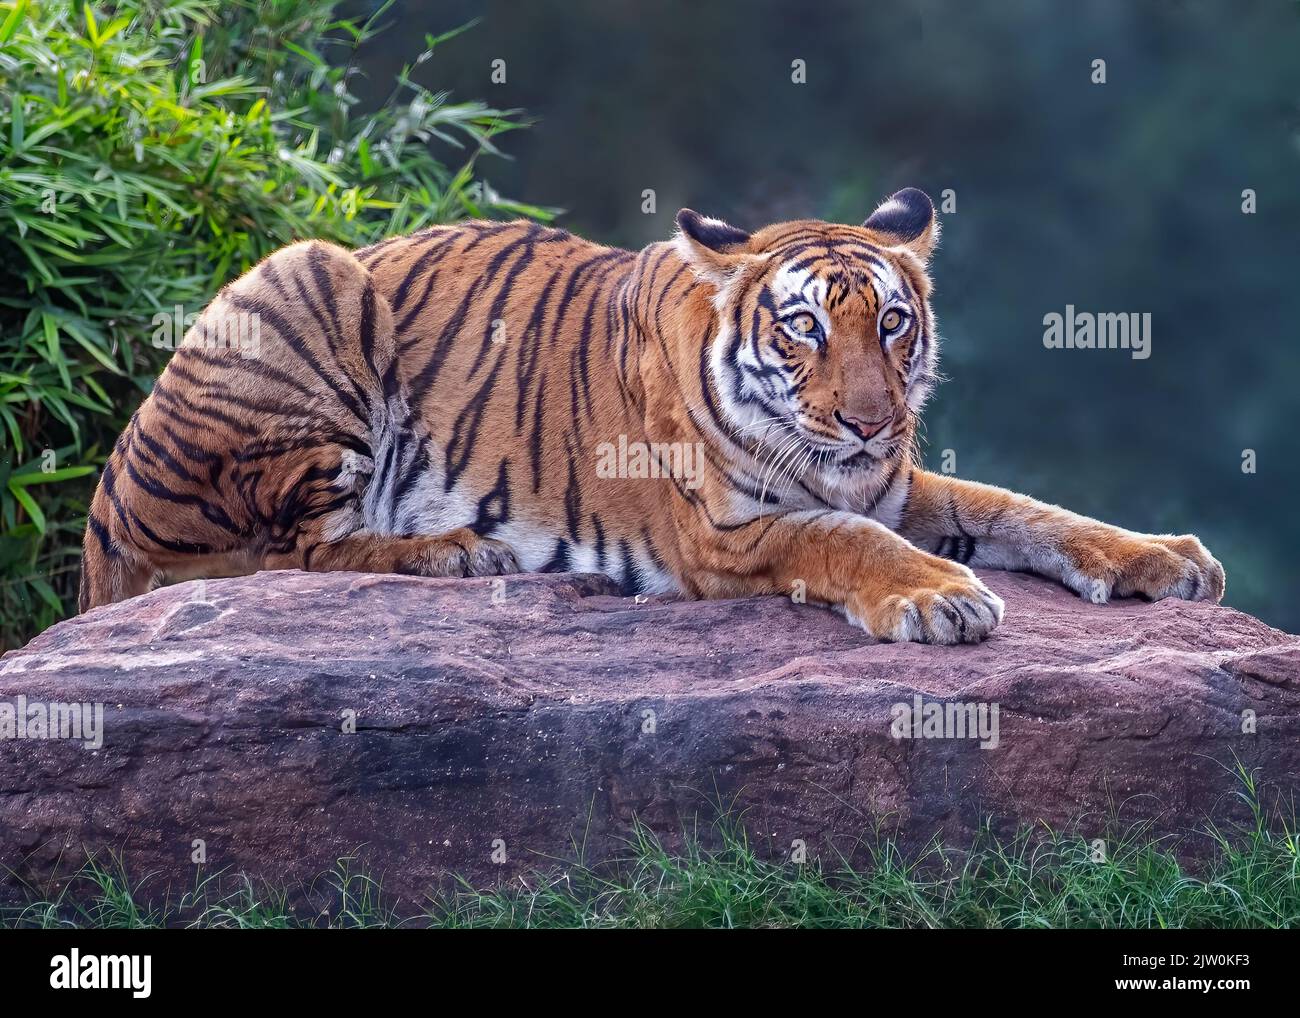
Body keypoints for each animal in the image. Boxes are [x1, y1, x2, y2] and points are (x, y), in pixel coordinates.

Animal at [78, 187, 1225, 644]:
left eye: (894, 322)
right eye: (805, 327)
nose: (867, 422)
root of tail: (98, 526)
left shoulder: (898, 484)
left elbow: (1025, 508)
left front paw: (1165, 558)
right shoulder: (725, 533)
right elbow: (845, 540)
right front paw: (943, 598)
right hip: (312, 273)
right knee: (292, 552)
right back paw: (455, 552)